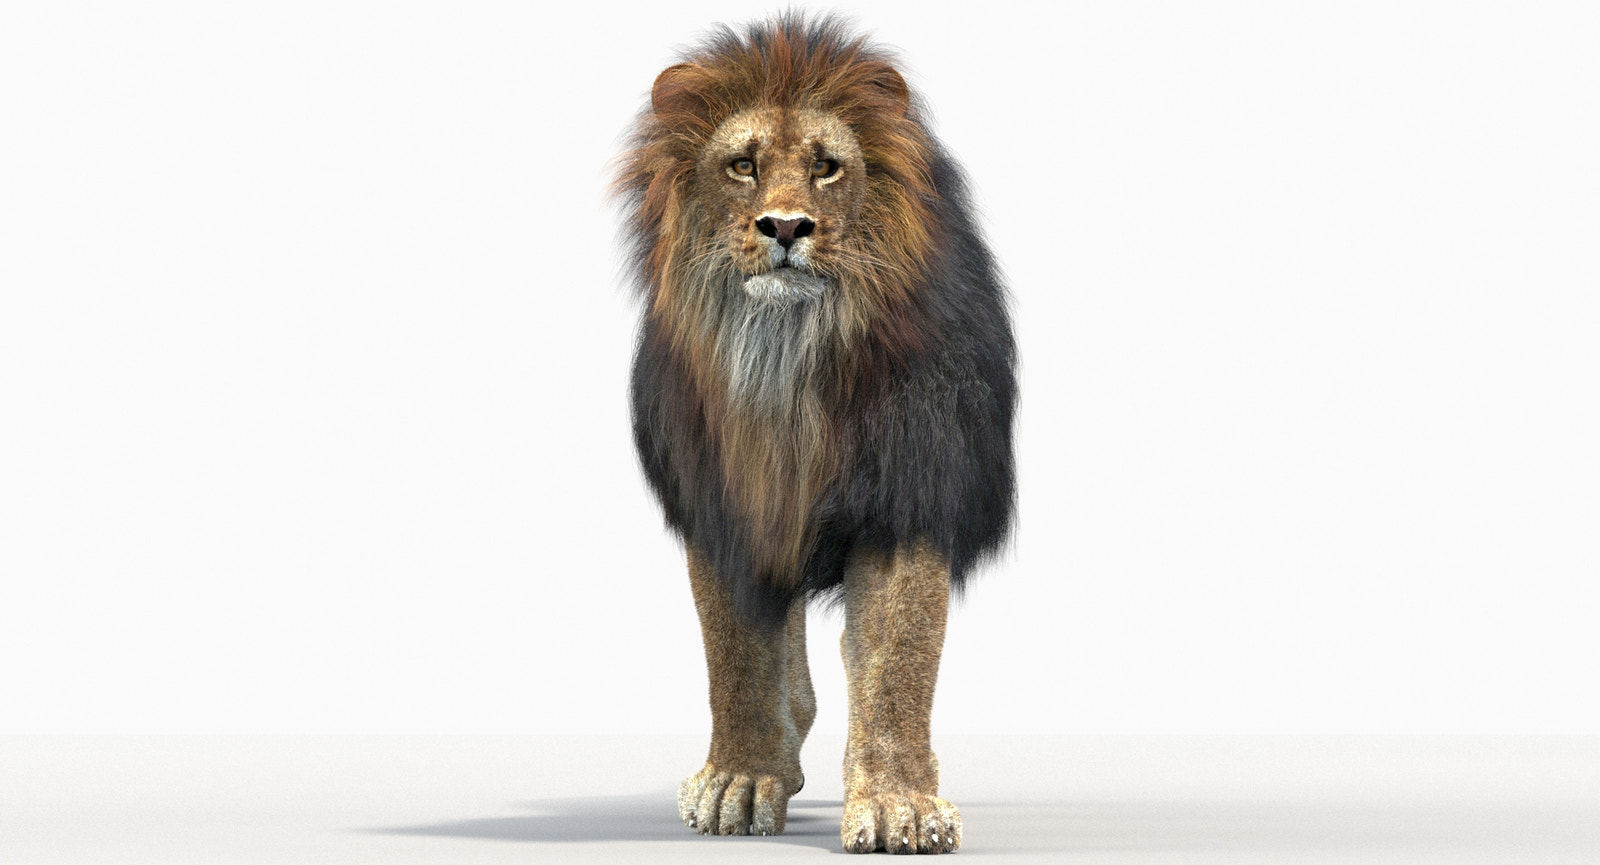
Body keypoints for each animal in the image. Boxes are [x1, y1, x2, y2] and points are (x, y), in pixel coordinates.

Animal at [614, 14, 1016, 854]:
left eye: (826, 168)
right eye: (742, 165)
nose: (787, 226)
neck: (786, 355)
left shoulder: (908, 484)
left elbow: (898, 655)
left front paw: (899, 805)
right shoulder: (724, 494)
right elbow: (734, 649)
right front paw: (739, 780)